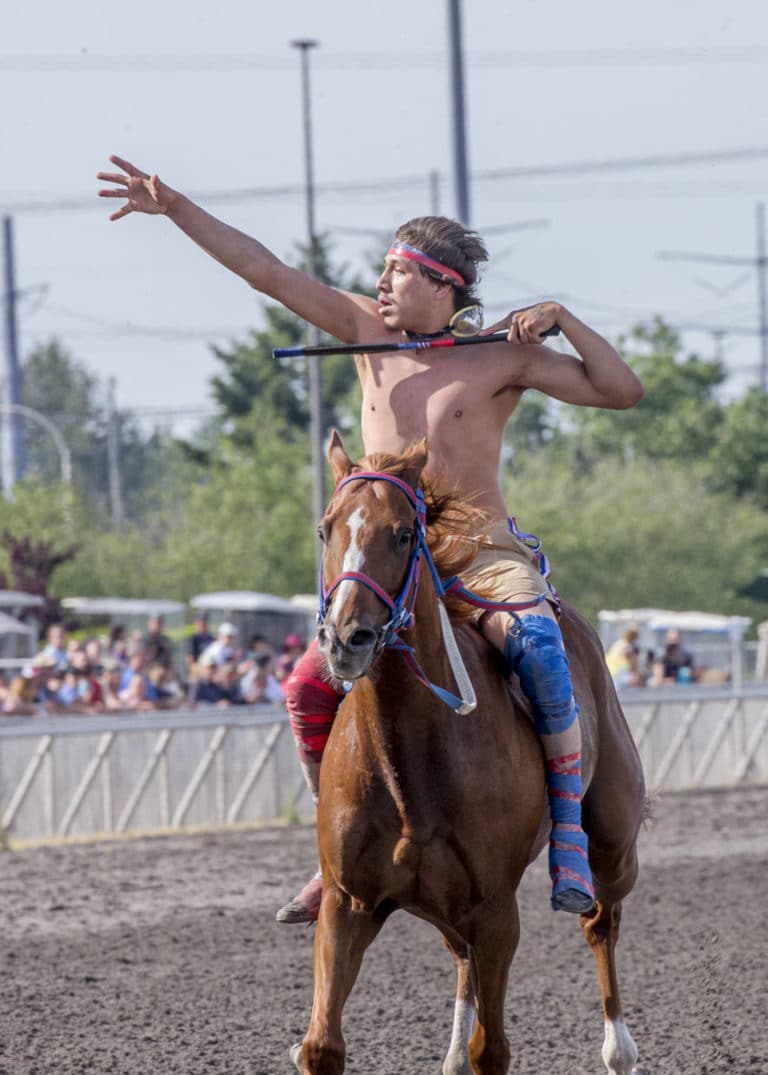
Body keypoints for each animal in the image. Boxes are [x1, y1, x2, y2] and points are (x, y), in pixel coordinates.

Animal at [290, 430, 641, 1075]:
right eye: (326, 530)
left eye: (404, 533)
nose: (347, 638)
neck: (408, 762)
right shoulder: (349, 904)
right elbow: (322, 1044)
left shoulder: (497, 910)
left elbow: (492, 1048)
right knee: (460, 956)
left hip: (613, 841)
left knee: (601, 921)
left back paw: (618, 1044)